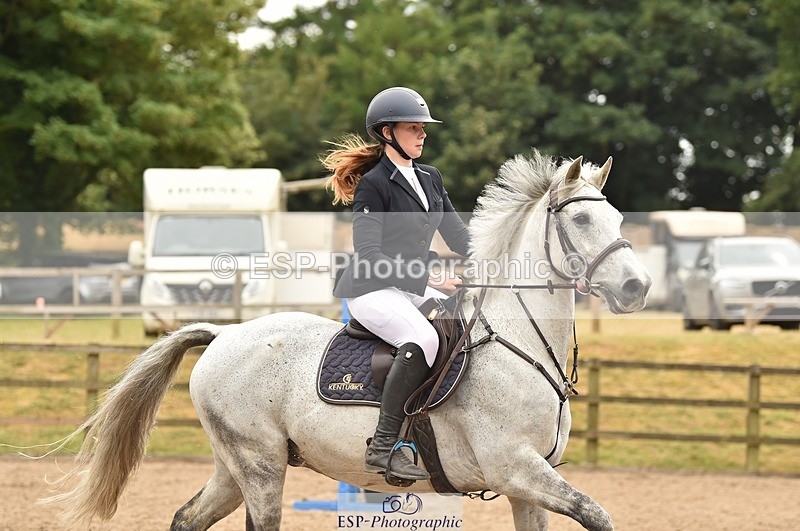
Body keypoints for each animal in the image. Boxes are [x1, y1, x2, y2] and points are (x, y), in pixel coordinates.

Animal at [42, 151, 651, 530]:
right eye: (580, 223)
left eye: (619, 217)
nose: (637, 287)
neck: (518, 345)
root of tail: (224, 334)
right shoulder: (515, 467)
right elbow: (598, 513)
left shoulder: (529, 485)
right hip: (260, 464)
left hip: (235, 465)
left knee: (187, 517)